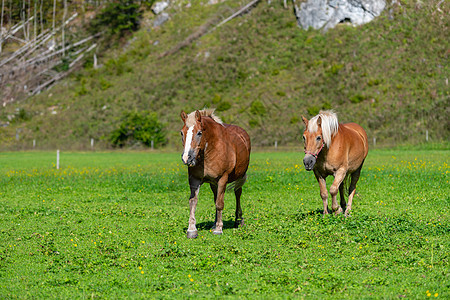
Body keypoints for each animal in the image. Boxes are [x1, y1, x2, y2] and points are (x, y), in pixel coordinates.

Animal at [179, 109, 250, 238]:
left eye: (199, 133)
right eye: (182, 133)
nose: (187, 158)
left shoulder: (223, 179)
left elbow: (220, 203)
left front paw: (218, 228)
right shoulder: (194, 179)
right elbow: (193, 202)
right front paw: (191, 229)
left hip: (239, 178)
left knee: (237, 194)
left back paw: (238, 221)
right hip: (213, 183)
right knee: (216, 197)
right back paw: (214, 223)